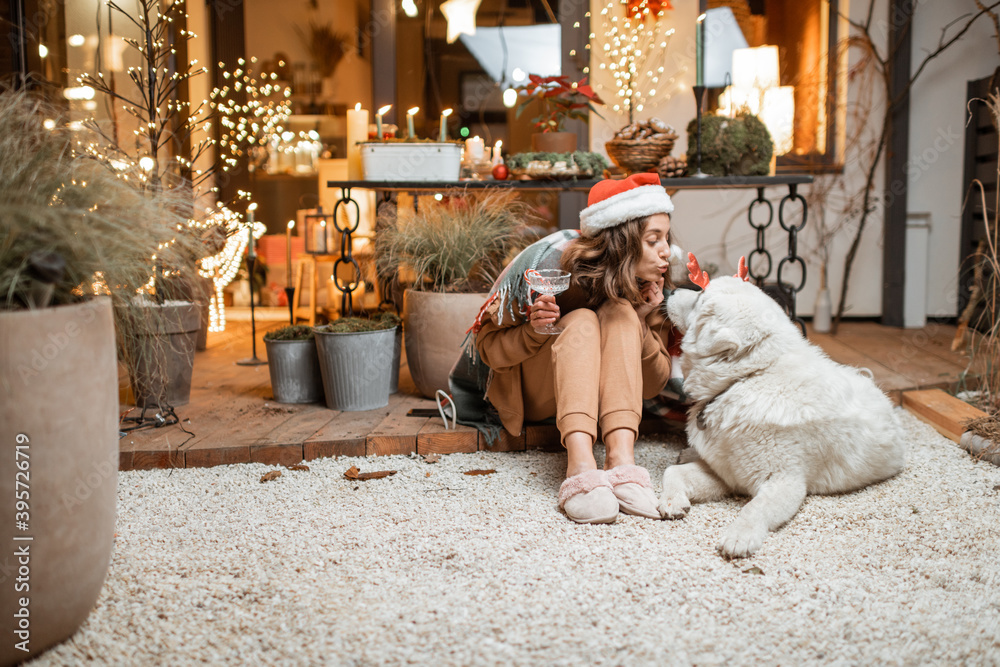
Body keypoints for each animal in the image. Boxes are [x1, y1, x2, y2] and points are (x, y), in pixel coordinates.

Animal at [664, 260, 908, 560]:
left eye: (699, 299)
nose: (670, 291)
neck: (747, 378)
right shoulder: (726, 474)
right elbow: (671, 472)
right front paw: (672, 501)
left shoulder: (785, 482)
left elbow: (754, 509)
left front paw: (739, 536)